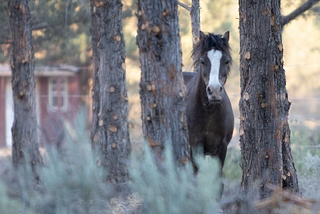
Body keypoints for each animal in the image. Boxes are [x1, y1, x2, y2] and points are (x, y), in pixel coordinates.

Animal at [182, 30, 235, 174]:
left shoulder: (221, 149)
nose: (214, 91)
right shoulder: (195, 147)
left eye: (226, 61)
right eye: (202, 61)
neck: (208, 112)